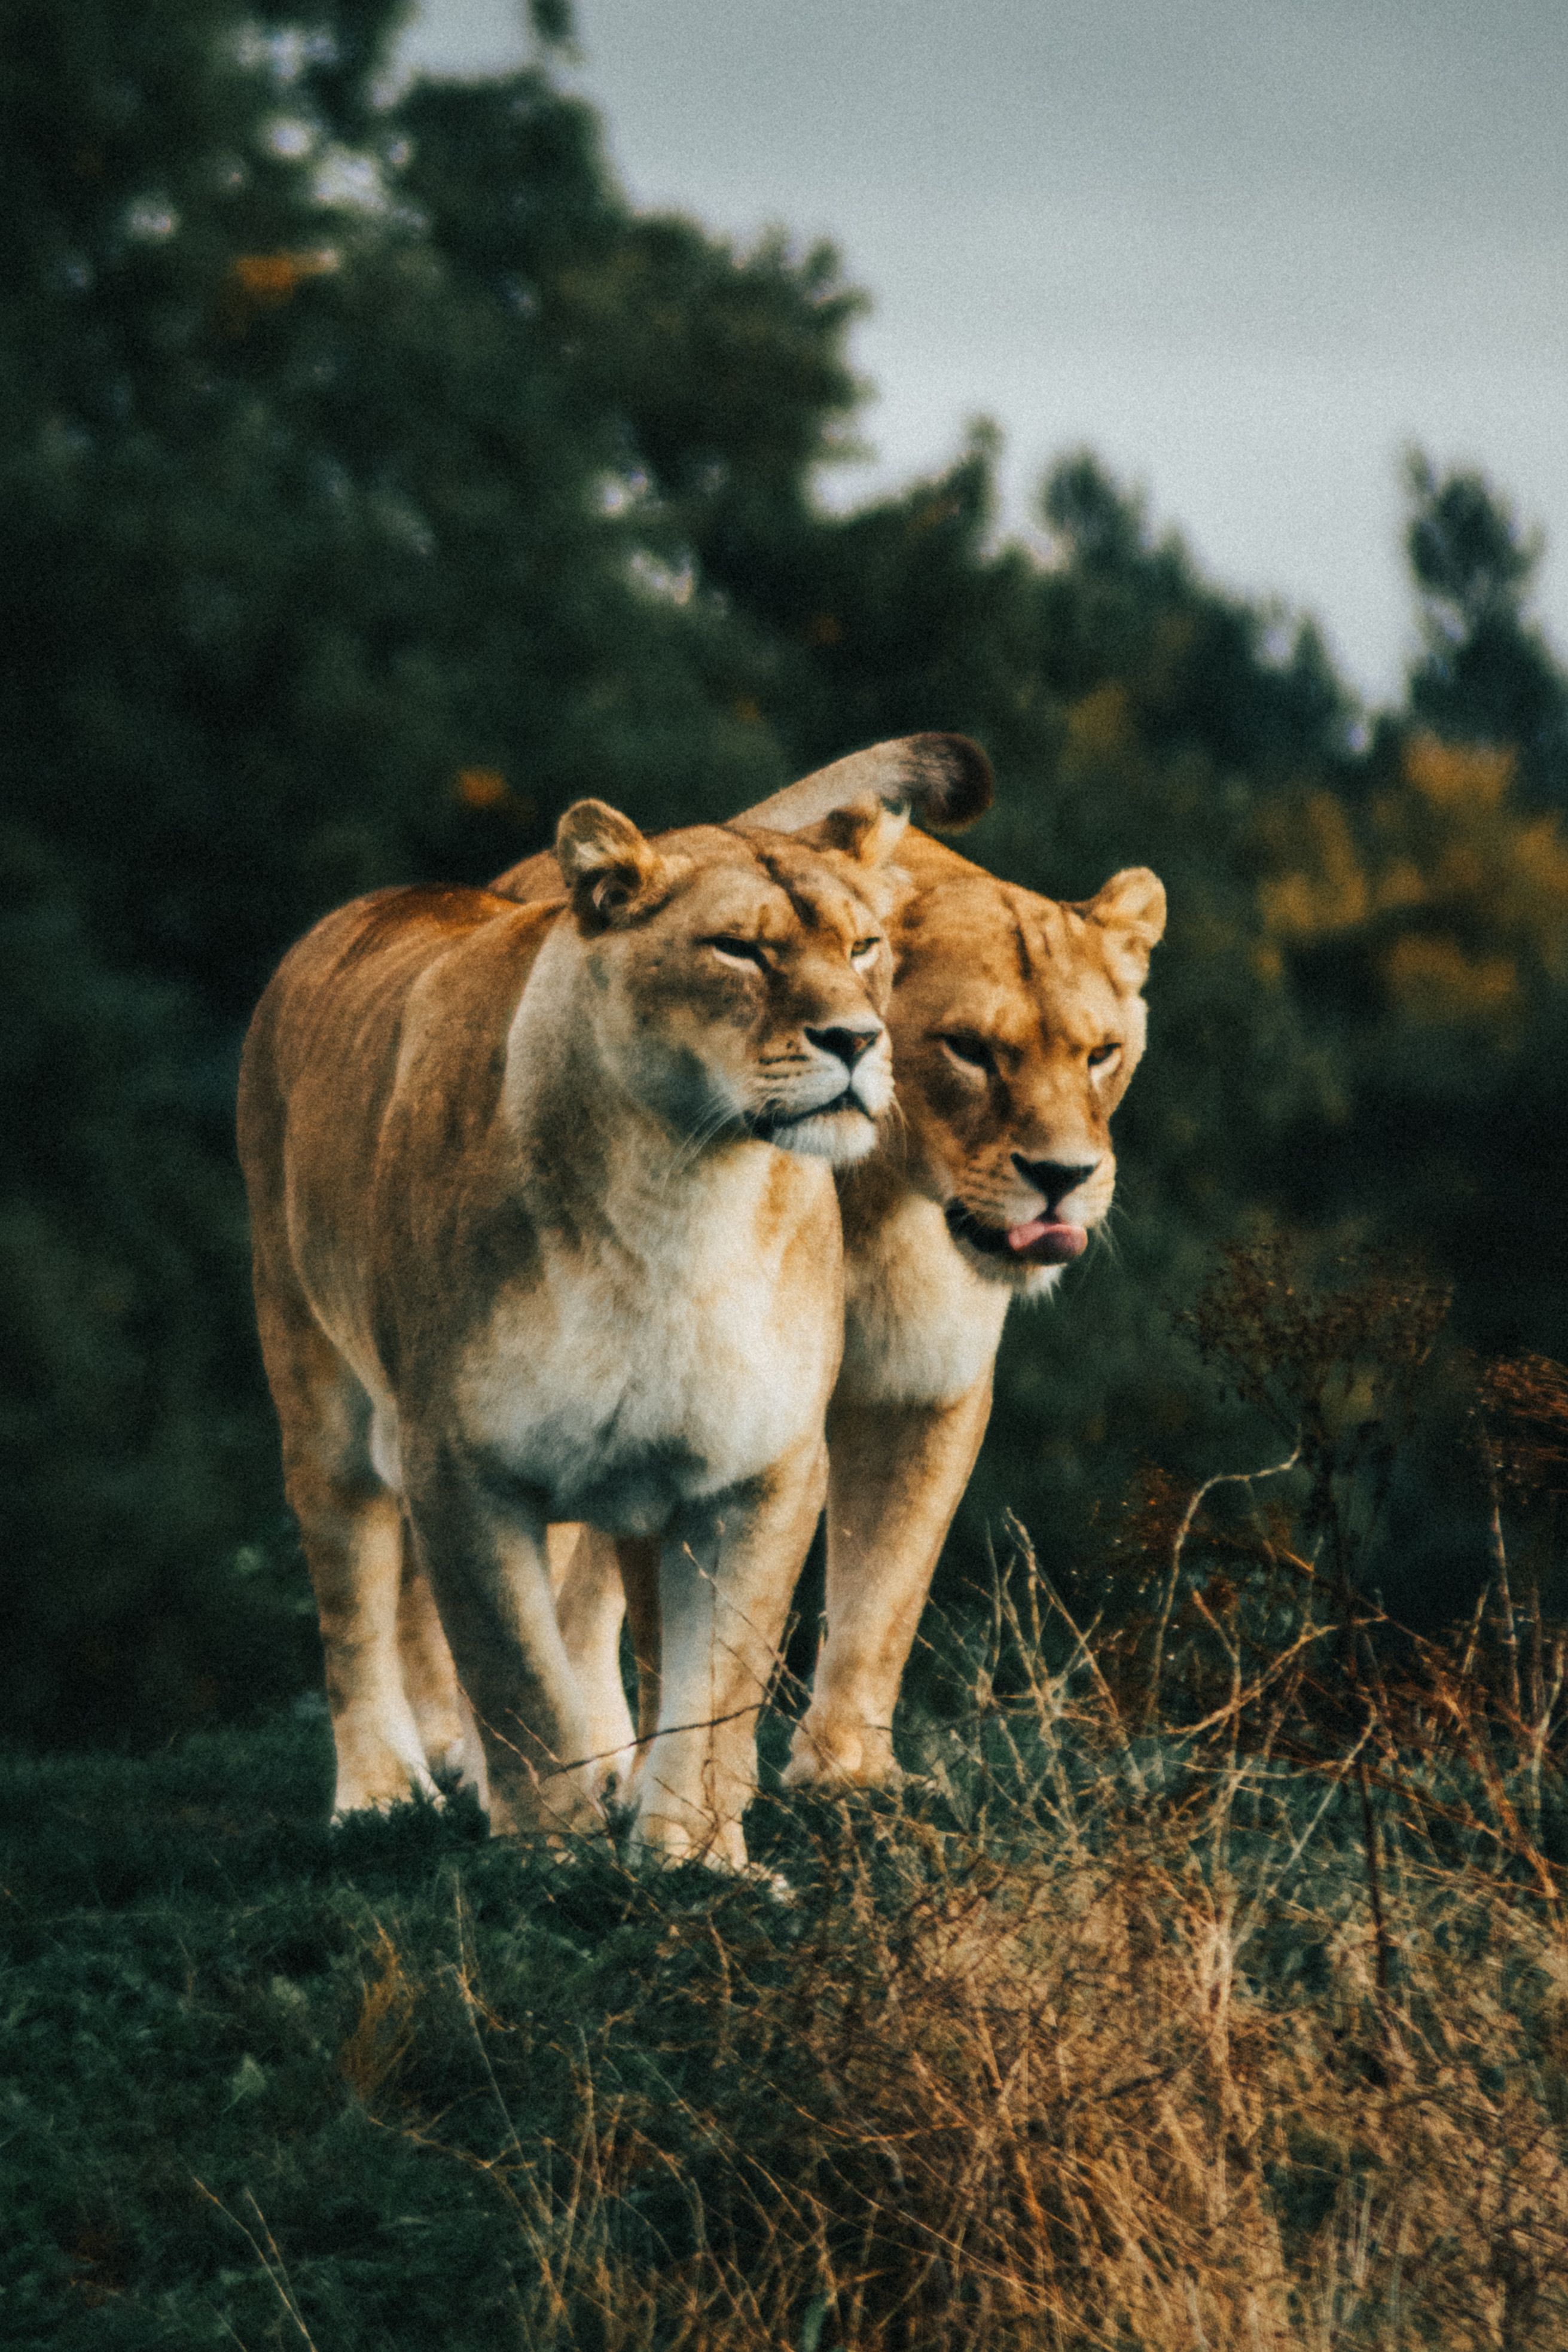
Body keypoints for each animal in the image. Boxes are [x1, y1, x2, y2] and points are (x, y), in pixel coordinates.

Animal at [237, 794, 915, 1866]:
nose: (856, 1038)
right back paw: (379, 1794)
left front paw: (692, 1858)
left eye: (864, 945)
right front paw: (549, 1863)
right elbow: (516, 1675)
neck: (681, 1191)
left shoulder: (761, 1470)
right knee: (353, 1599)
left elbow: (713, 1688)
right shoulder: (458, 1462)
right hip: (314, 1381)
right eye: (738, 950)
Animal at [466, 738, 1163, 1803]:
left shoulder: (926, 1385)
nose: (1063, 1179)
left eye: (1100, 1053)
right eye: (969, 1050)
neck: (881, 1198)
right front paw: (686, 1782)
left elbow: (887, 1586)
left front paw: (847, 1772)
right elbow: (684, 1628)